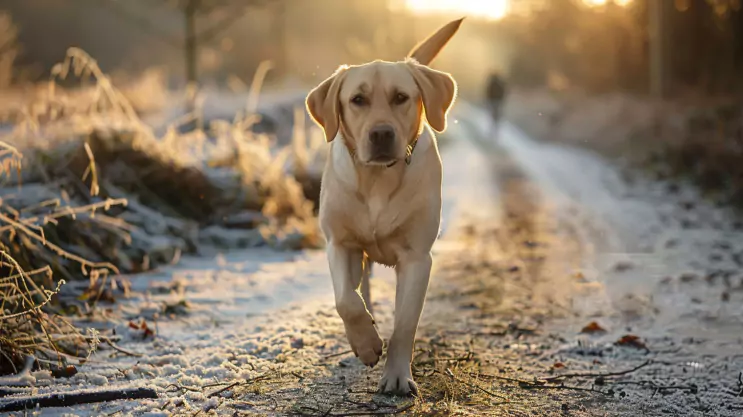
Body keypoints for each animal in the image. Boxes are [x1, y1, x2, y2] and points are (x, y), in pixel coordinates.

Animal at [306, 18, 462, 394]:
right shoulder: (339, 244)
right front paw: (366, 343)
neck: (378, 178)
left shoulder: (417, 258)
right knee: (359, 288)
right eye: (357, 100)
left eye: (401, 98)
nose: (381, 134)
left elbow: (405, 322)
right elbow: (346, 300)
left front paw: (396, 375)